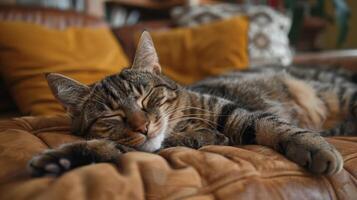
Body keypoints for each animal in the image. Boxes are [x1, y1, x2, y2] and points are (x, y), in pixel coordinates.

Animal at [27, 31, 354, 177]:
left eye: (146, 97)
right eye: (113, 115)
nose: (143, 126)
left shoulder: (233, 112)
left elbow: (277, 126)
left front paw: (317, 148)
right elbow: (115, 147)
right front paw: (63, 157)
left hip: (339, 92)